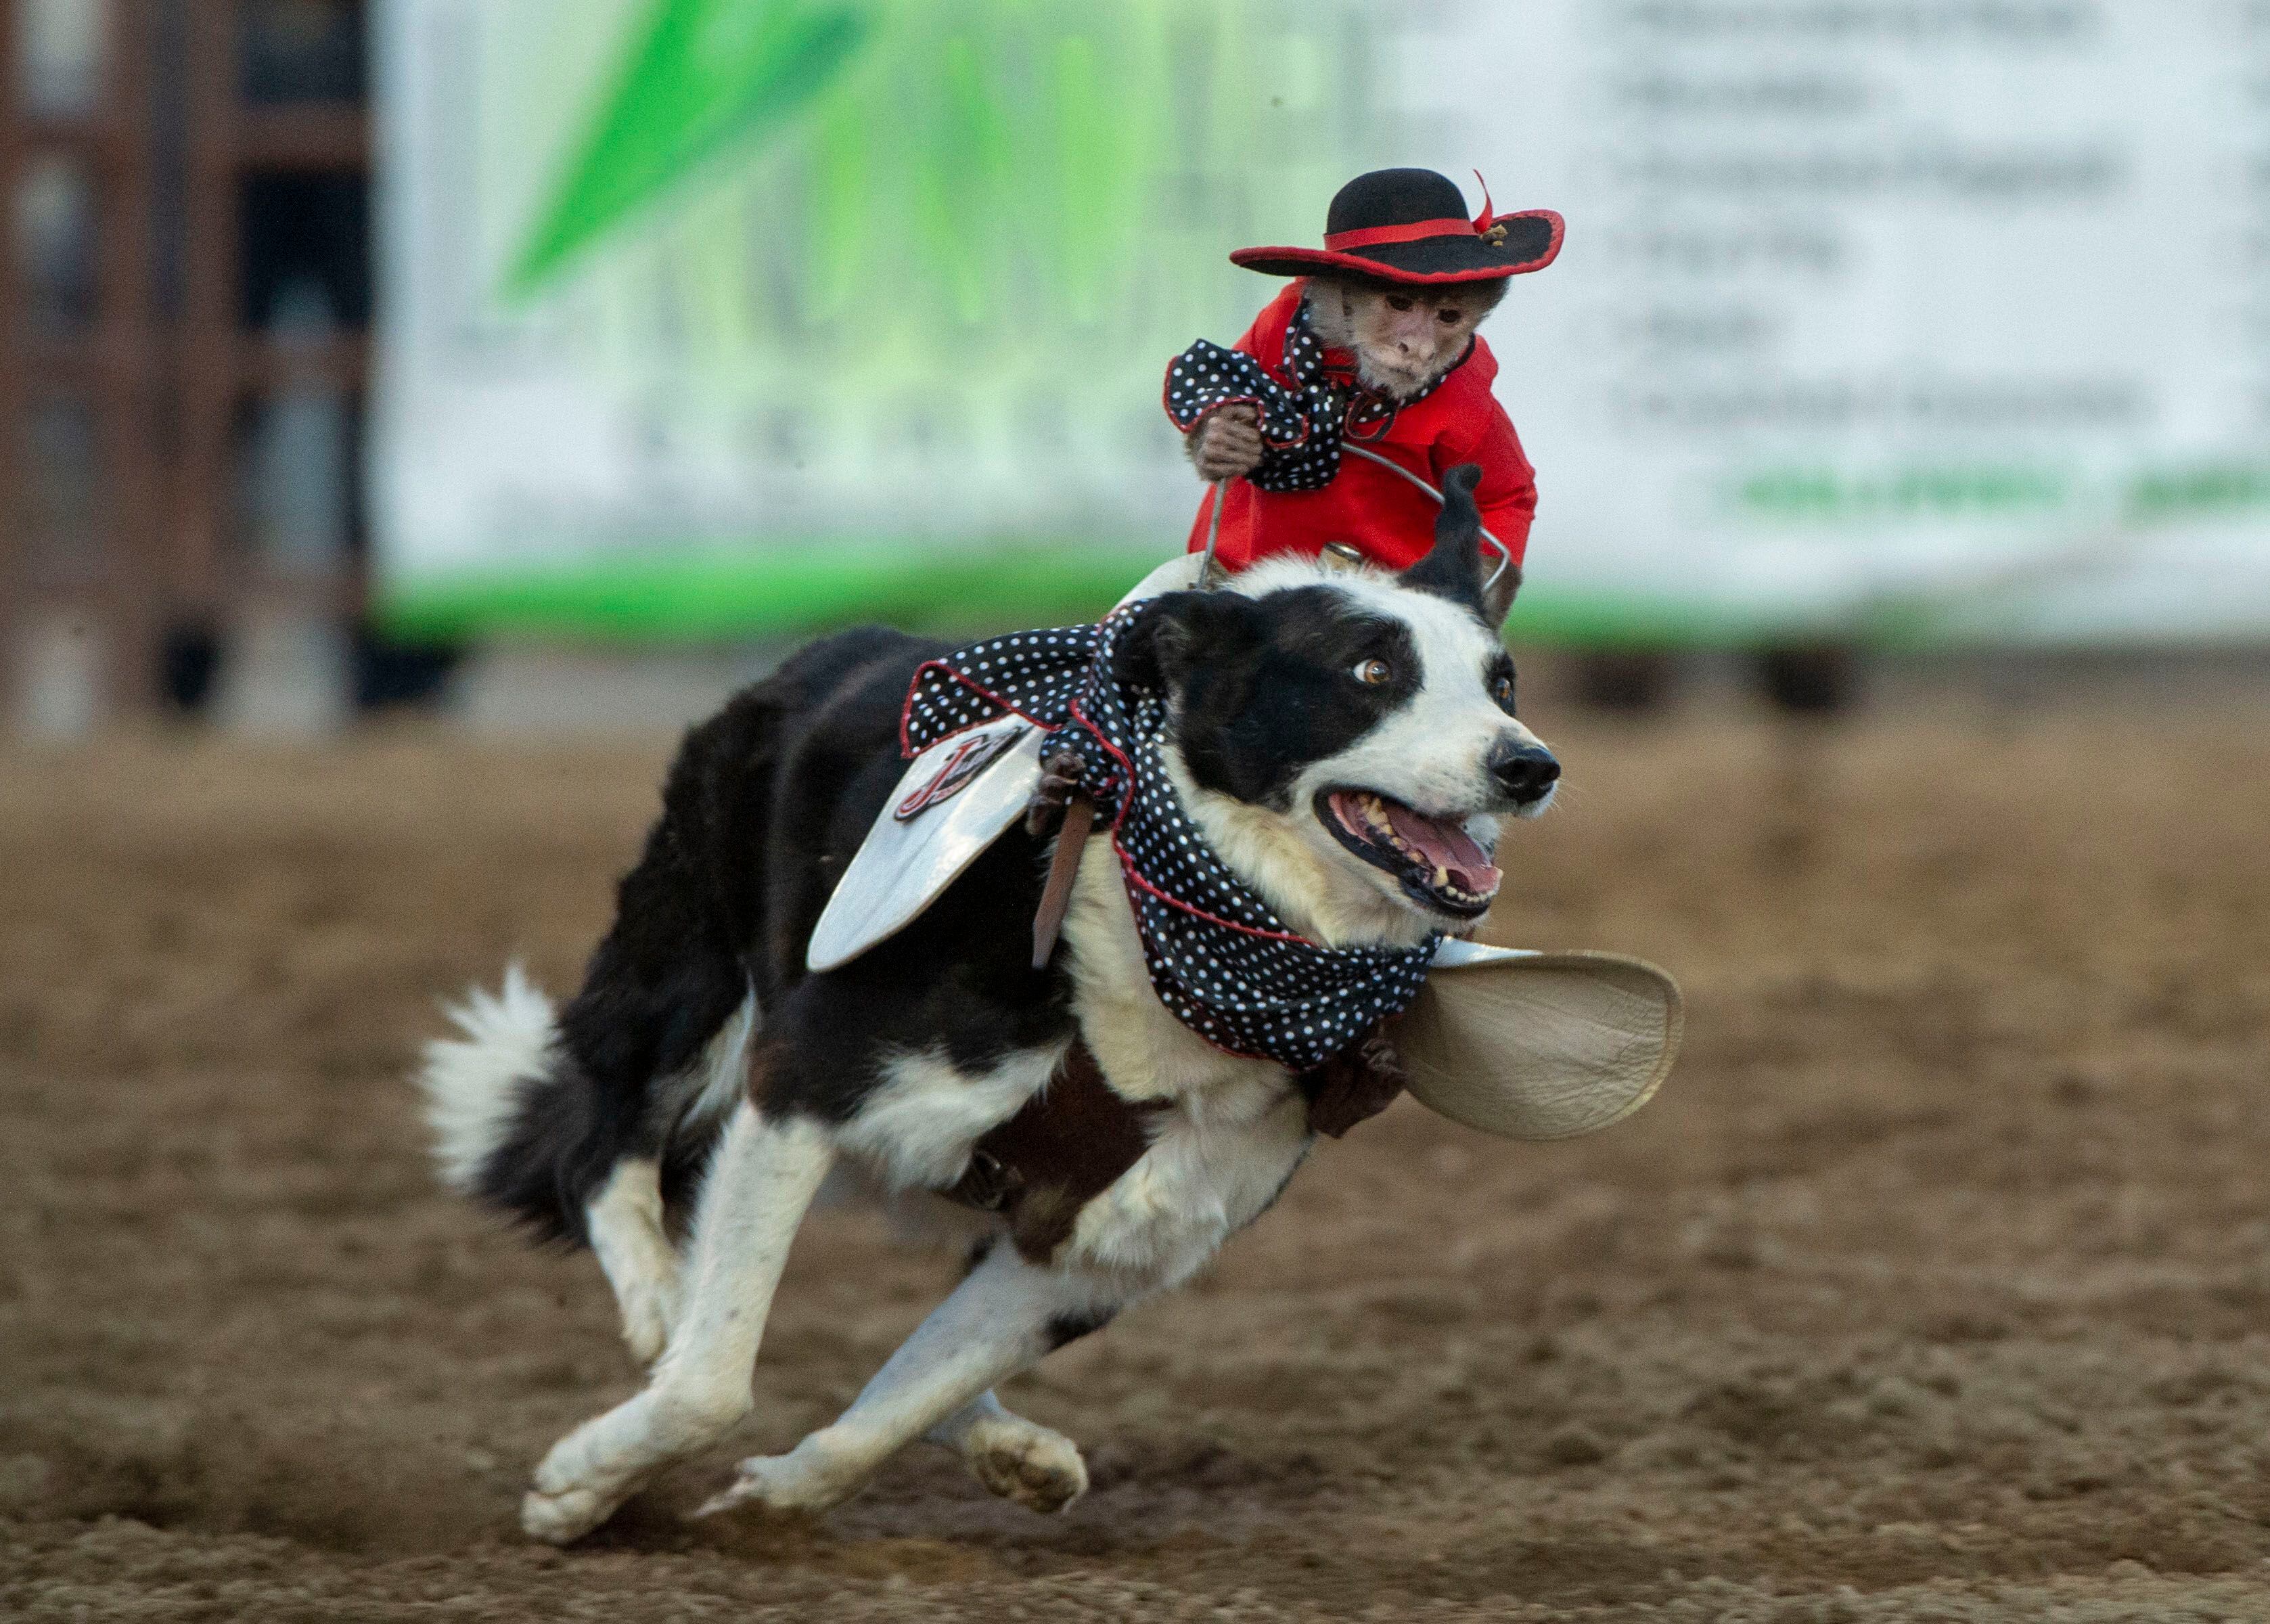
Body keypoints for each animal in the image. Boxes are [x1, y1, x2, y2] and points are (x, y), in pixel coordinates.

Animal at [422, 463, 1562, 1544]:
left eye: (1500, 679)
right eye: (1369, 673)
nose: (1527, 764)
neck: (1165, 930)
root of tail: (835, 648)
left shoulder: (1101, 1248)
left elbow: (896, 1405)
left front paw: (770, 1499)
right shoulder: (803, 1084)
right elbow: (711, 1382)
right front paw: (578, 1488)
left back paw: (1007, 1446)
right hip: (694, 983)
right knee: (601, 1148)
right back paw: (662, 1299)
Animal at [1189, 275, 1507, 483]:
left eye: (1449, 316)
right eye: (1400, 302)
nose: (1418, 349)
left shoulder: (1475, 417)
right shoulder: (1272, 319)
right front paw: (1225, 443)